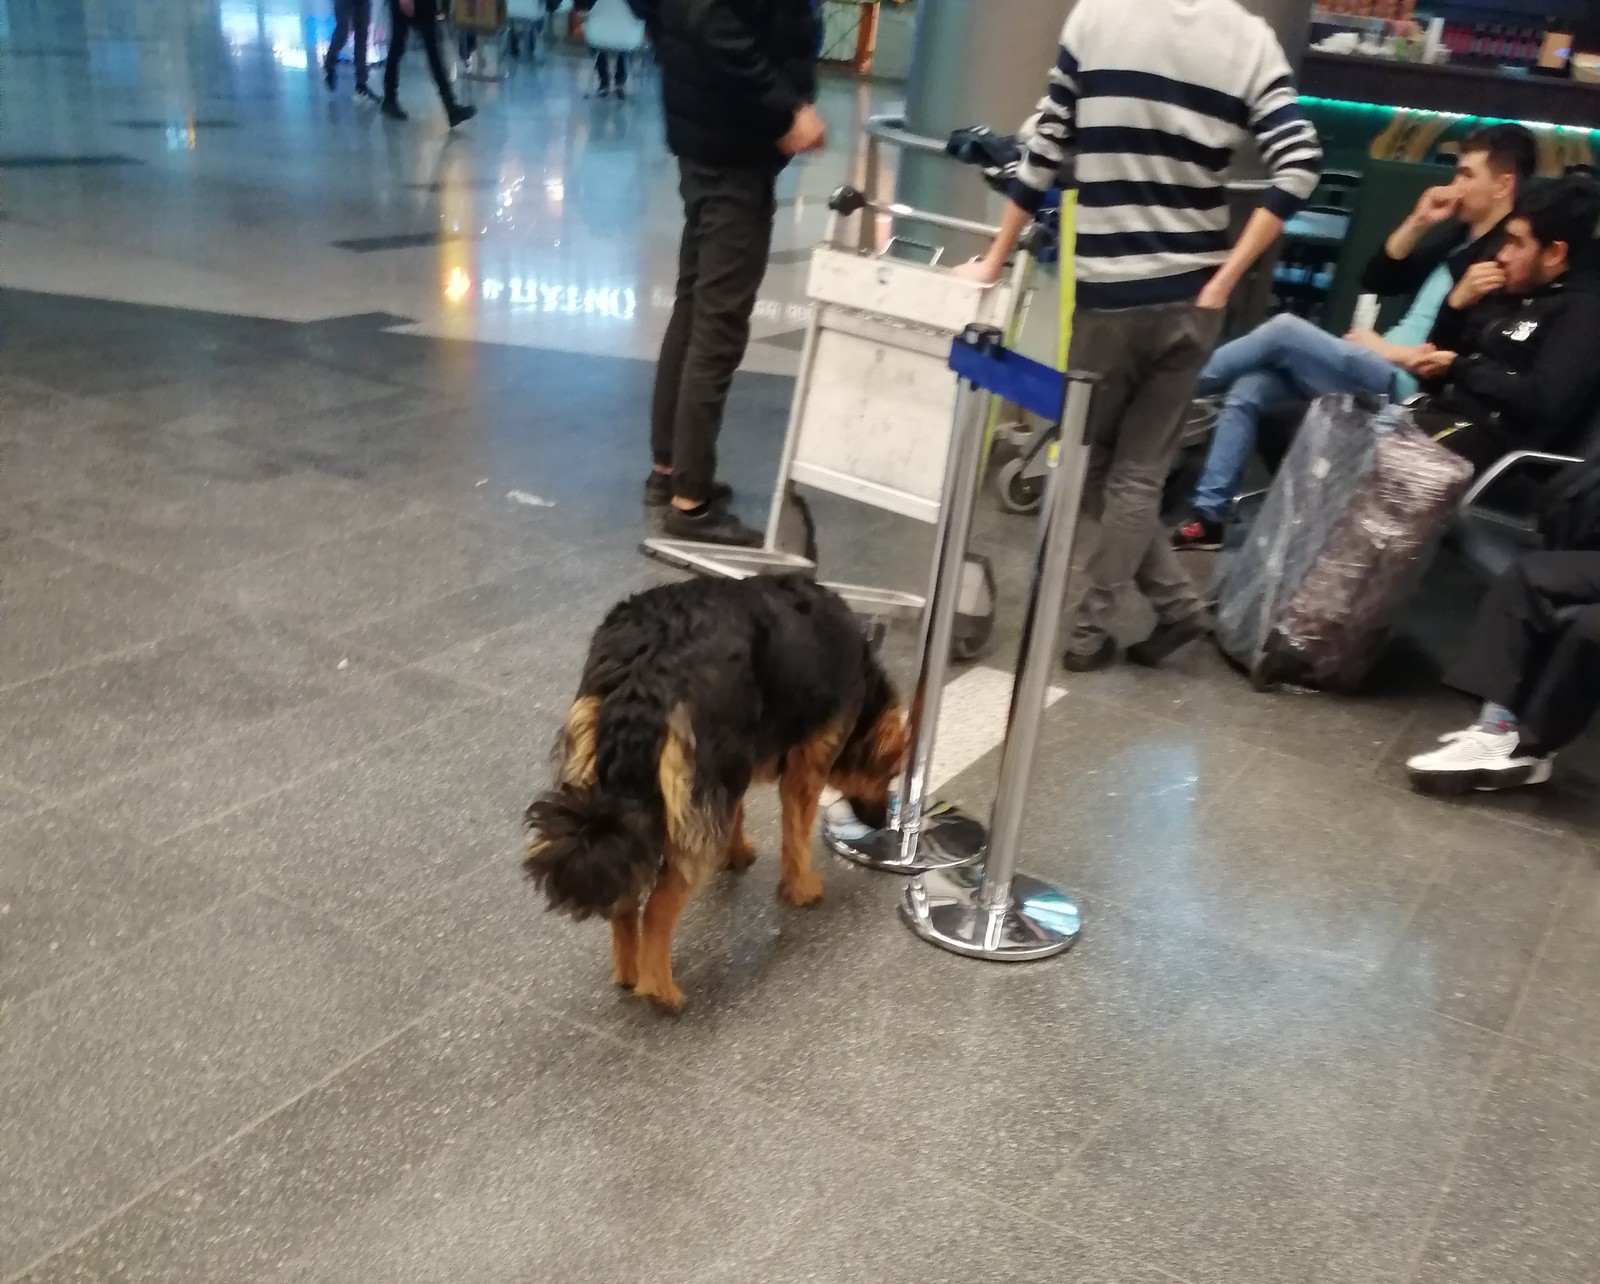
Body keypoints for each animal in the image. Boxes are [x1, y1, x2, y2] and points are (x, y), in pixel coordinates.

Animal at [521, 573, 902, 1011]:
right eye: (892, 773)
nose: (882, 823)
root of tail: (645, 667)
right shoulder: (806, 764)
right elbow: (797, 834)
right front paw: (801, 887)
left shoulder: (732, 767)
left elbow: (737, 814)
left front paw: (736, 854)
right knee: (658, 908)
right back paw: (660, 990)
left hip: (608, 772)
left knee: (625, 893)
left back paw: (630, 972)